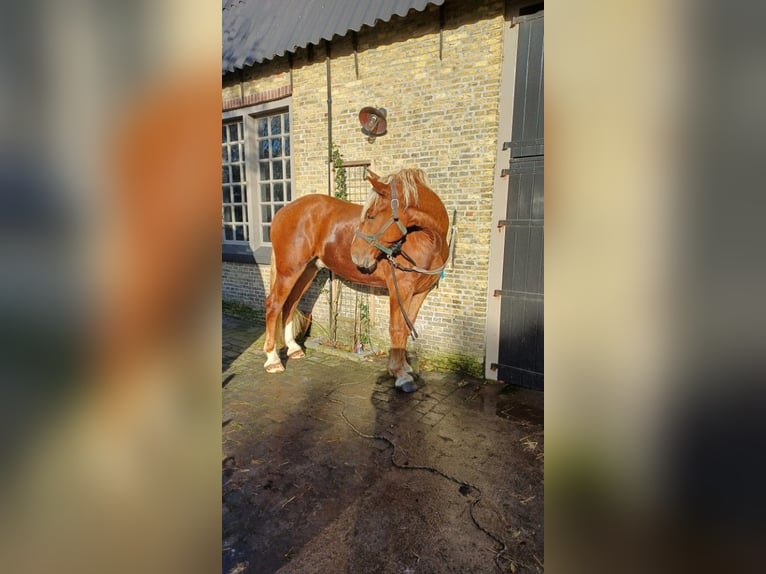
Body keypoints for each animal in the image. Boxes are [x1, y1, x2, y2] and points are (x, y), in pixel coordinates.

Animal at [264, 166, 450, 392]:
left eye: (371, 215)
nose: (356, 256)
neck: (426, 240)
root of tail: (282, 211)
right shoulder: (400, 289)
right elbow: (396, 329)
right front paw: (399, 374)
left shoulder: (420, 292)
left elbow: (406, 328)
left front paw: (404, 368)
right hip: (289, 270)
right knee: (274, 305)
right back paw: (273, 360)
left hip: (308, 270)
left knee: (290, 304)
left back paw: (293, 348)